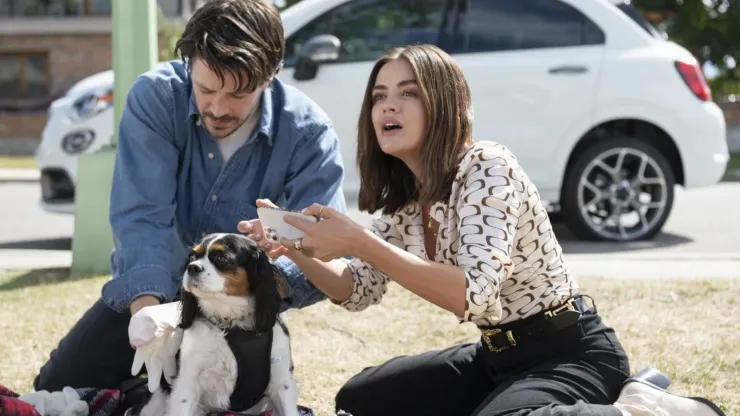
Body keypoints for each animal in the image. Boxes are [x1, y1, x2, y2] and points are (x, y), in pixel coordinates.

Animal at [136, 232, 298, 414]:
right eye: (192, 256)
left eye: (221, 257)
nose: (192, 267)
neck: (230, 322)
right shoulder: (186, 384)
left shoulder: (282, 381)